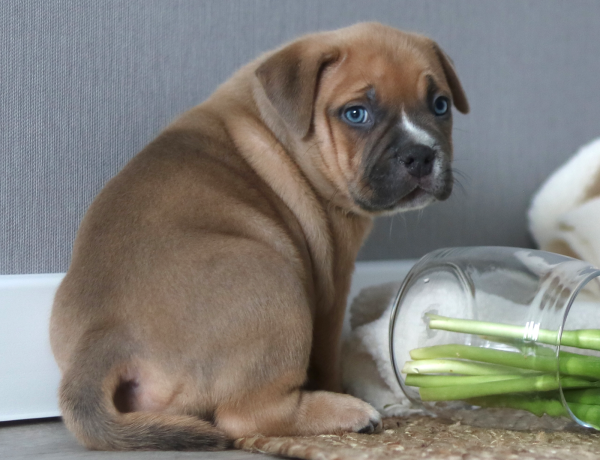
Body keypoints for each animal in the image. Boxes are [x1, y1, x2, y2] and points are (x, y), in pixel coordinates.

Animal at [50, 22, 468, 451]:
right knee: (247, 416)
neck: (285, 131)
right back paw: (347, 411)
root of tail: (106, 336)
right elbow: (327, 354)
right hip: (276, 283)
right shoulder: (332, 284)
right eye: (356, 114)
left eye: (440, 105)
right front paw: (341, 386)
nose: (420, 154)